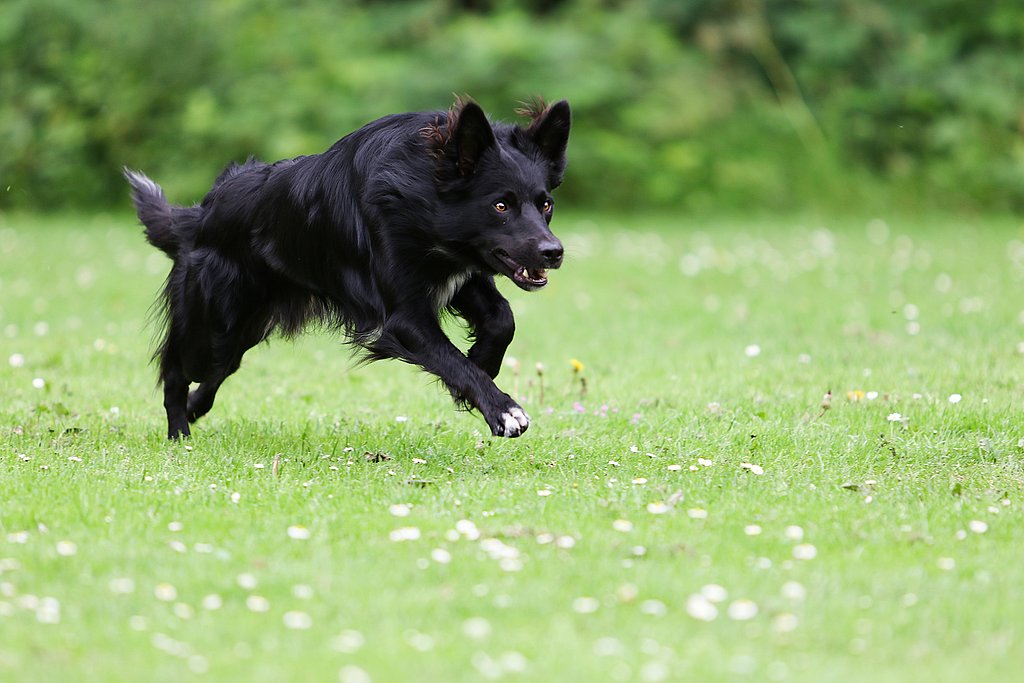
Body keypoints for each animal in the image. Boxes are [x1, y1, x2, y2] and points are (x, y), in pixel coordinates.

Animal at [126, 98, 571, 440]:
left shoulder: (459, 275)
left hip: (241, 329)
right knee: (176, 371)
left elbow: (502, 319)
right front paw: (502, 408)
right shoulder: (404, 318)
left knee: (216, 371)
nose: (554, 252)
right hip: (213, 322)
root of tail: (200, 216)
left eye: (546, 203)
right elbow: (451, 357)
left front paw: (483, 361)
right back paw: (179, 434)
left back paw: (196, 408)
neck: (419, 190)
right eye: (501, 205)